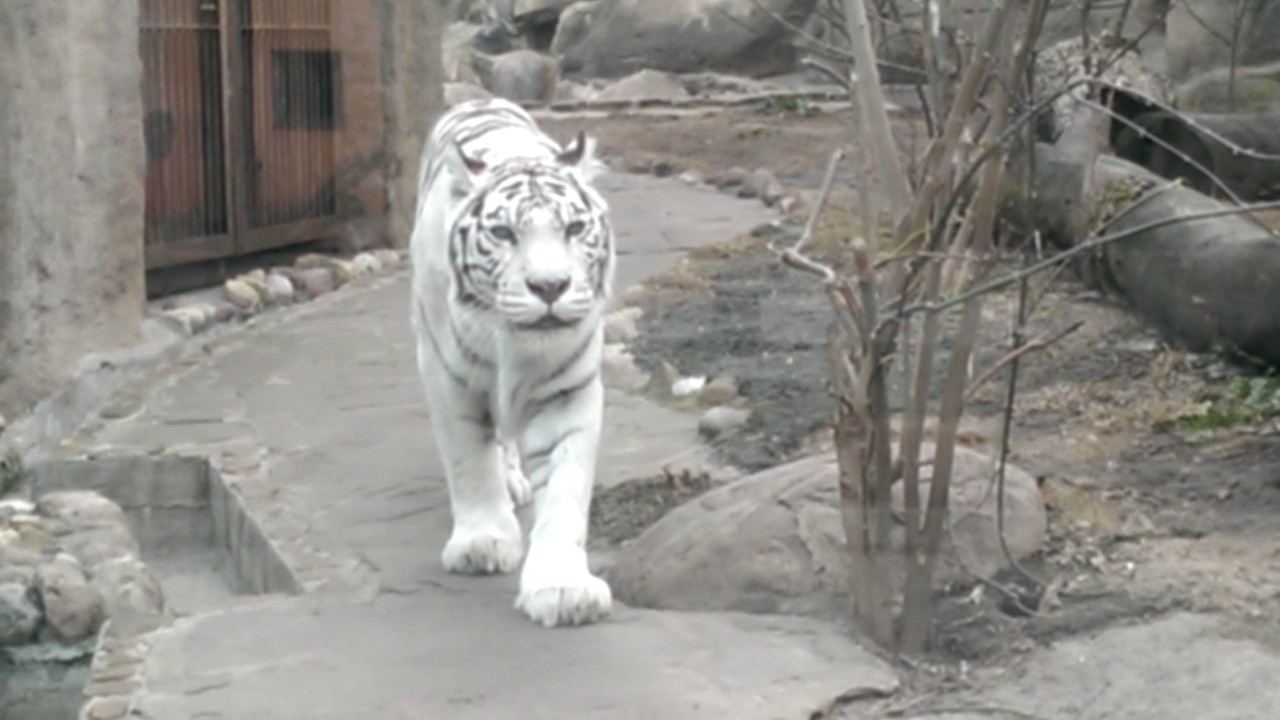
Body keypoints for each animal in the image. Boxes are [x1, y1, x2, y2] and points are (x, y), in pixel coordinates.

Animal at [409, 98, 616, 628]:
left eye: (574, 228)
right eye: (503, 234)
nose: (550, 287)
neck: (517, 347)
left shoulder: (569, 388)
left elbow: (565, 486)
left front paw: (562, 588)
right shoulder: (449, 378)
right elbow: (470, 461)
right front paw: (482, 542)